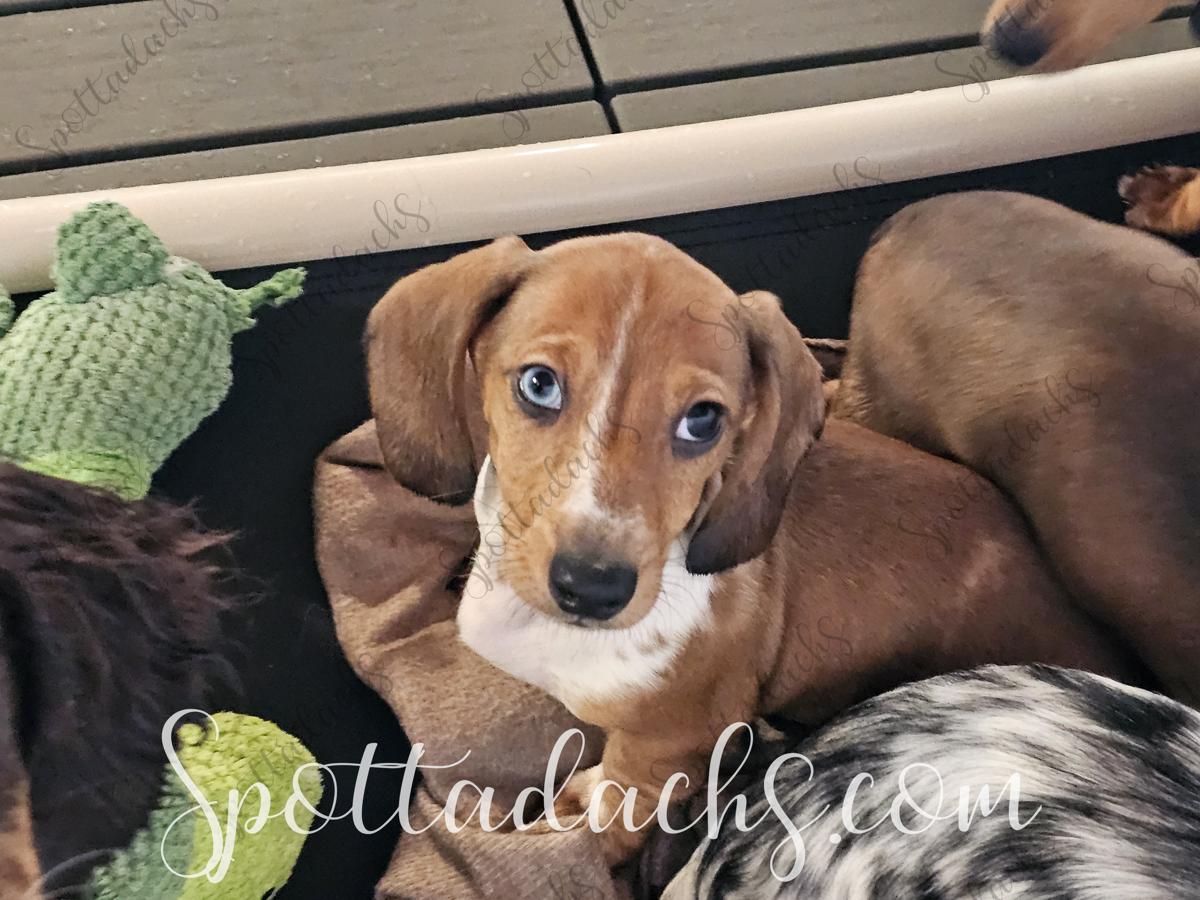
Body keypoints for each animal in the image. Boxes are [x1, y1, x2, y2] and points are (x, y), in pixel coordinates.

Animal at [365, 233, 1142, 865]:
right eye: (538, 384)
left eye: (704, 421)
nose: (593, 585)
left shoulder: (668, 743)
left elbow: (615, 804)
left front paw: (584, 832)